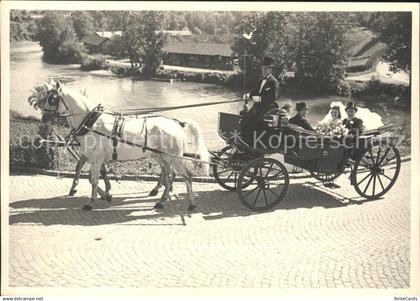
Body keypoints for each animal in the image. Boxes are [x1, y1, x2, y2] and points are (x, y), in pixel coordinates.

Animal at [32, 81, 209, 210]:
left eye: (52, 99)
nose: (44, 119)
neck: (91, 122)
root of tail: (177, 124)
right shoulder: (95, 158)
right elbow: (93, 176)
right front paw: (105, 194)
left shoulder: (96, 159)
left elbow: (93, 180)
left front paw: (91, 202)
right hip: (163, 157)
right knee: (169, 176)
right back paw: (161, 200)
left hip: (173, 158)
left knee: (186, 176)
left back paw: (191, 203)